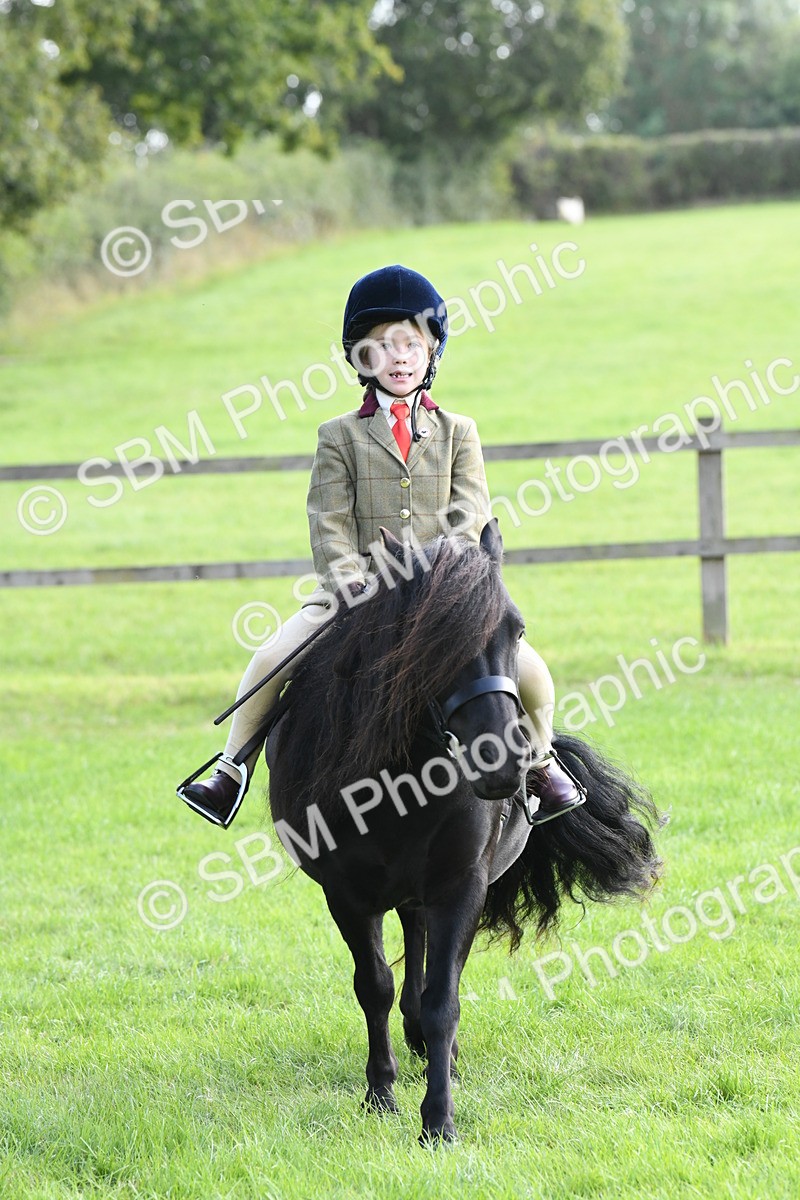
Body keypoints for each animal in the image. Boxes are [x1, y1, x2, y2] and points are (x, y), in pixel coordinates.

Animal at [266, 520, 661, 1144]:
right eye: (427, 643)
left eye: (516, 629)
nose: (502, 763)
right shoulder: (347, 894)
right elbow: (373, 987)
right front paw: (381, 1095)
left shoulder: (460, 884)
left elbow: (442, 999)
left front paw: (439, 1120)